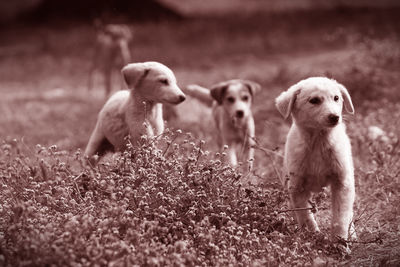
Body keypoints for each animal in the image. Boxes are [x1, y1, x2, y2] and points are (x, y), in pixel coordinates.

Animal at [276, 76, 356, 240]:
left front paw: (339, 240)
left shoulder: (342, 182)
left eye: (336, 98)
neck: (319, 142)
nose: (335, 117)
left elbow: (341, 216)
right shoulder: (297, 186)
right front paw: (312, 236)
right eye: (314, 100)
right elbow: (305, 216)